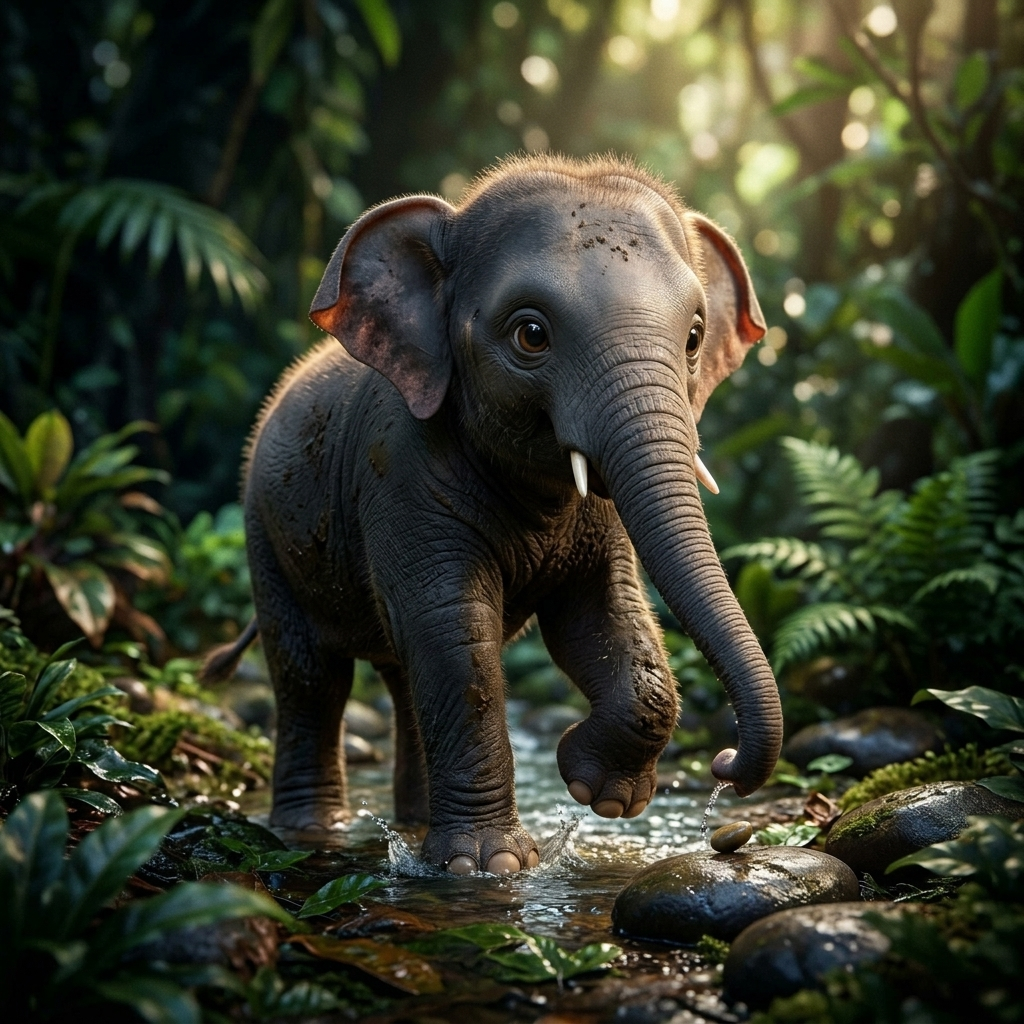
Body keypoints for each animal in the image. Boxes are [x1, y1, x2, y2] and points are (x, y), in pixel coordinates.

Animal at [208, 154, 783, 875]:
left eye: (696, 338)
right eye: (530, 334)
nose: (725, 763)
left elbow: (600, 617)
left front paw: (598, 793)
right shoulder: (400, 470)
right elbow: (455, 630)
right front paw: (492, 866)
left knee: (401, 676)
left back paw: (413, 824)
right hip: (264, 528)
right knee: (313, 678)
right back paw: (313, 832)